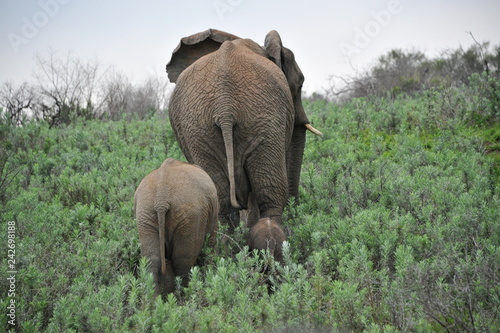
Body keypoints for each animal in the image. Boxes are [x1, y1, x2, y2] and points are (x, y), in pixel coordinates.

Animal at [134, 157, 218, 294]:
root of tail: (161, 199)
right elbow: (211, 242)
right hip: (190, 215)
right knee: (182, 261)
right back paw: (186, 295)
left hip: (144, 213)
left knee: (152, 260)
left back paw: (156, 299)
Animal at [165, 29, 320, 233]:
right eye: (301, 83)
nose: (297, 211)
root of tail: (225, 106)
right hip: (262, 118)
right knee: (270, 194)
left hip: (200, 129)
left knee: (222, 202)